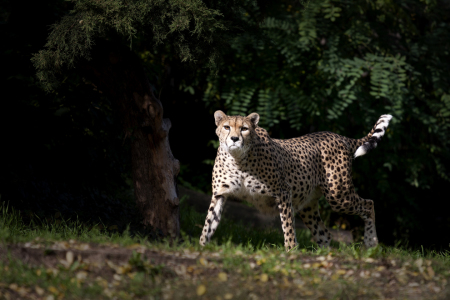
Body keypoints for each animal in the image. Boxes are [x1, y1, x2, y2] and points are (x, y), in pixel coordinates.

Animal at [199, 110, 392, 251]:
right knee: (324, 233)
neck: (238, 159)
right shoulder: (219, 195)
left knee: (369, 204)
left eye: (244, 129)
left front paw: (291, 252)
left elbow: (288, 227)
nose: (234, 138)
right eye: (226, 127)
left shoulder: (283, 193)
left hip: (338, 196)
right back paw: (325, 255)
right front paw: (201, 246)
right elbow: (208, 224)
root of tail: (338, 136)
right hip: (308, 206)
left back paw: (371, 242)